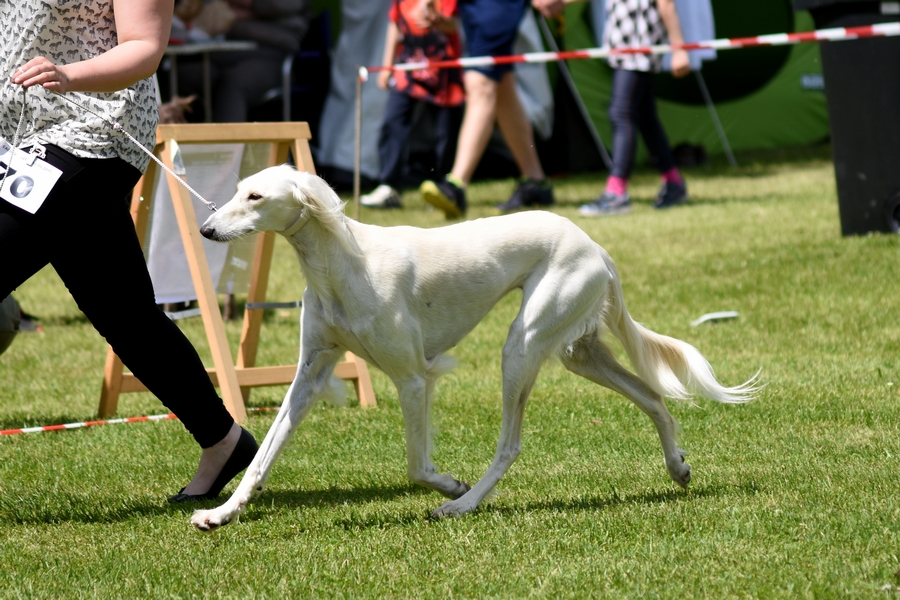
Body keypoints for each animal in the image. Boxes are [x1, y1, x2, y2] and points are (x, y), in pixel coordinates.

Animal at [192, 164, 760, 528]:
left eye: (256, 197)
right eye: (238, 190)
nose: (206, 228)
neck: (341, 262)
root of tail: (593, 244)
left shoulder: (413, 378)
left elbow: (416, 466)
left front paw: (452, 488)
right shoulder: (310, 373)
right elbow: (263, 457)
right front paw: (220, 514)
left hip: (523, 345)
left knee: (511, 444)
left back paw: (464, 507)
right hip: (578, 352)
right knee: (653, 396)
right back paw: (677, 466)